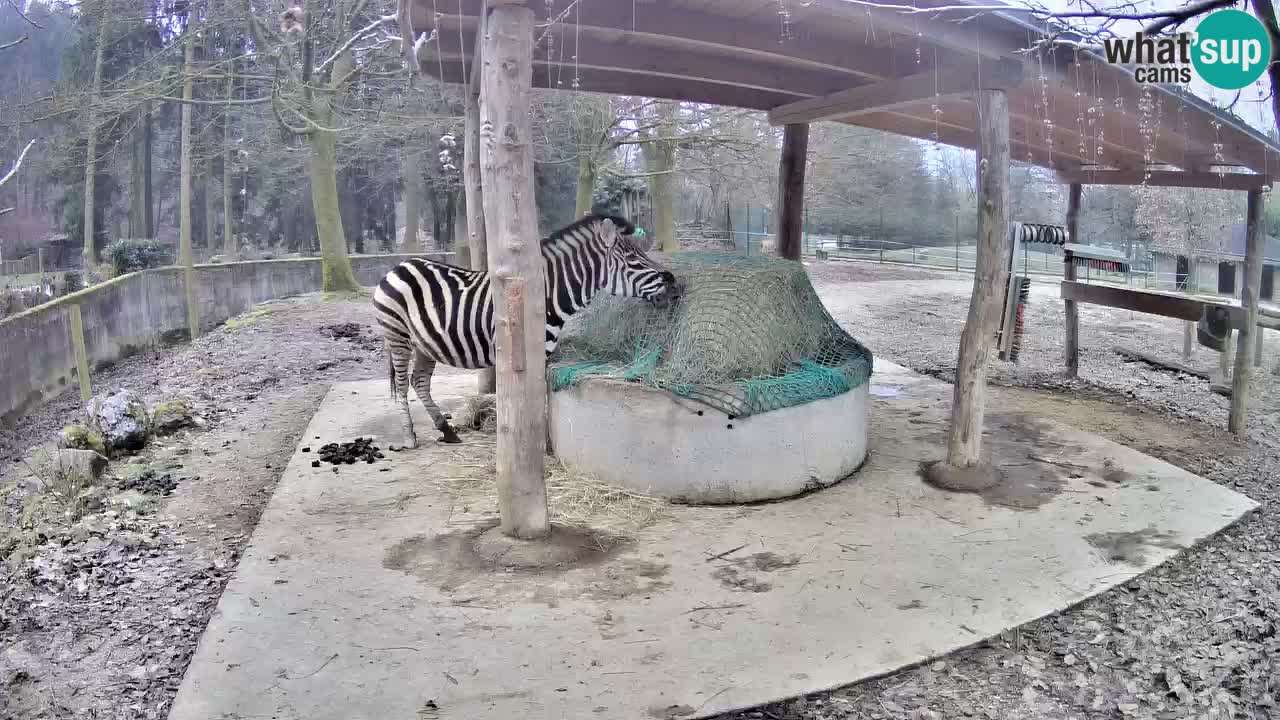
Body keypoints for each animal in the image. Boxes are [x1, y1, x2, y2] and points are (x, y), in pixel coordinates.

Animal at [373, 212, 680, 445]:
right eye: (634, 261)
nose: (676, 287)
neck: (546, 295)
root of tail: (399, 265)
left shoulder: (544, 353)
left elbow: (540, 397)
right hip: (397, 335)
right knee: (402, 384)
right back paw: (409, 437)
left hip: (425, 344)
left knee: (419, 382)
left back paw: (446, 430)